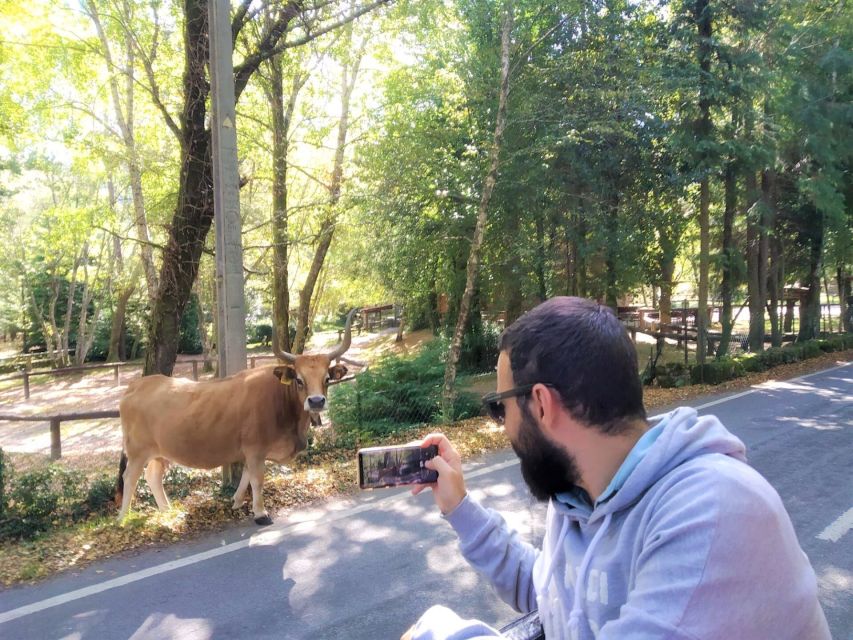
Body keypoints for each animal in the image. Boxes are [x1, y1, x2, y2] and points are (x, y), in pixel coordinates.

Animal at [115, 308, 358, 524]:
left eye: (327, 379)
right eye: (299, 379)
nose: (316, 401)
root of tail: (138, 384)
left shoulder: (250, 452)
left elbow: (246, 476)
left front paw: (237, 501)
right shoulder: (256, 450)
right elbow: (257, 480)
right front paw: (260, 513)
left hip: (161, 452)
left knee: (153, 476)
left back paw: (167, 510)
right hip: (137, 451)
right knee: (130, 478)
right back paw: (123, 518)